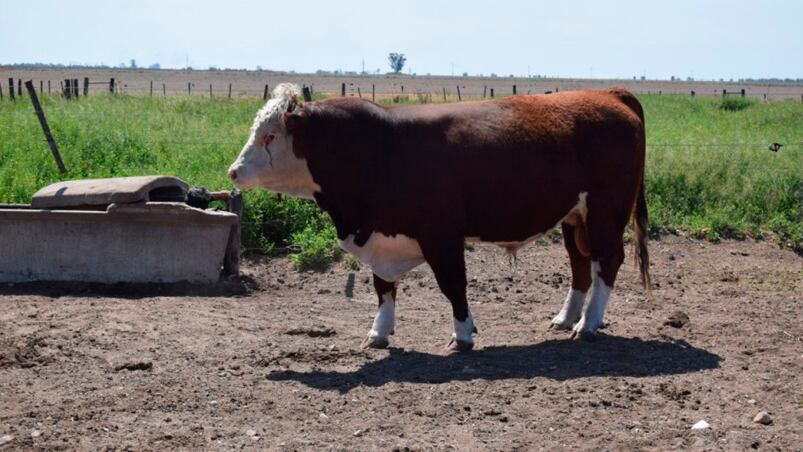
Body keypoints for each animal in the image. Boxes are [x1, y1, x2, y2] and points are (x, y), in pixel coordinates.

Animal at [228, 85, 652, 354]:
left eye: (269, 136)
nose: (233, 171)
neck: (376, 148)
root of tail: (608, 94)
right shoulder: (381, 235)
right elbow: (383, 287)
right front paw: (378, 332)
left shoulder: (442, 235)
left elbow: (453, 285)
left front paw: (463, 334)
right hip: (574, 217)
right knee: (581, 265)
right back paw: (566, 318)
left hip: (605, 213)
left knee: (606, 263)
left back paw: (588, 324)